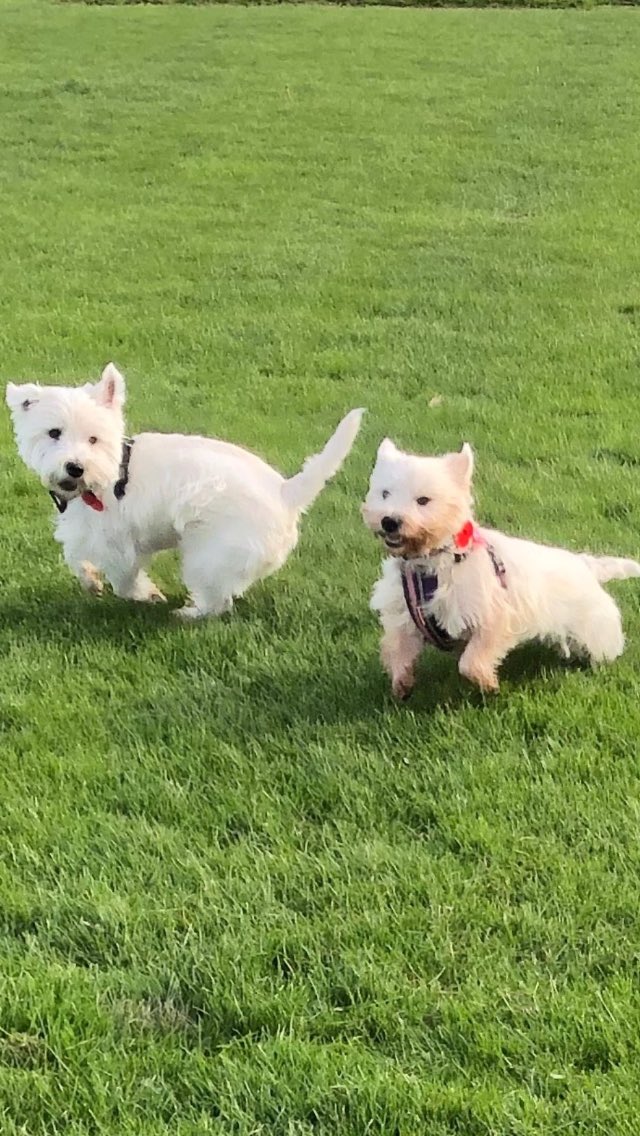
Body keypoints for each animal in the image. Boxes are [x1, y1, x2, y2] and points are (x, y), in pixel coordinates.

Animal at [5, 363, 363, 617]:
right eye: (54, 433)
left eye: (93, 438)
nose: (75, 467)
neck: (108, 475)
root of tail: (286, 492)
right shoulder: (87, 531)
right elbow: (76, 557)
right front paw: (91, 581)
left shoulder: (118, 541)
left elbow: (123, 579)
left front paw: (145, 594)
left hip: (207, 555)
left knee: (217, 602)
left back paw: (187, 613)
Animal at [363, 438, 640, 695]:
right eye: (385, 493)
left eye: (423, 500)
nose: (389, 521)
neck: (431, 562)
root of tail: (585, 564)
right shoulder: (404, 613)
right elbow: (395, 647)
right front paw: (402, 684)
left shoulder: (492, 616)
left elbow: (471, 660)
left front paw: (488, 684)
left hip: (594, 624)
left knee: (605, 645)